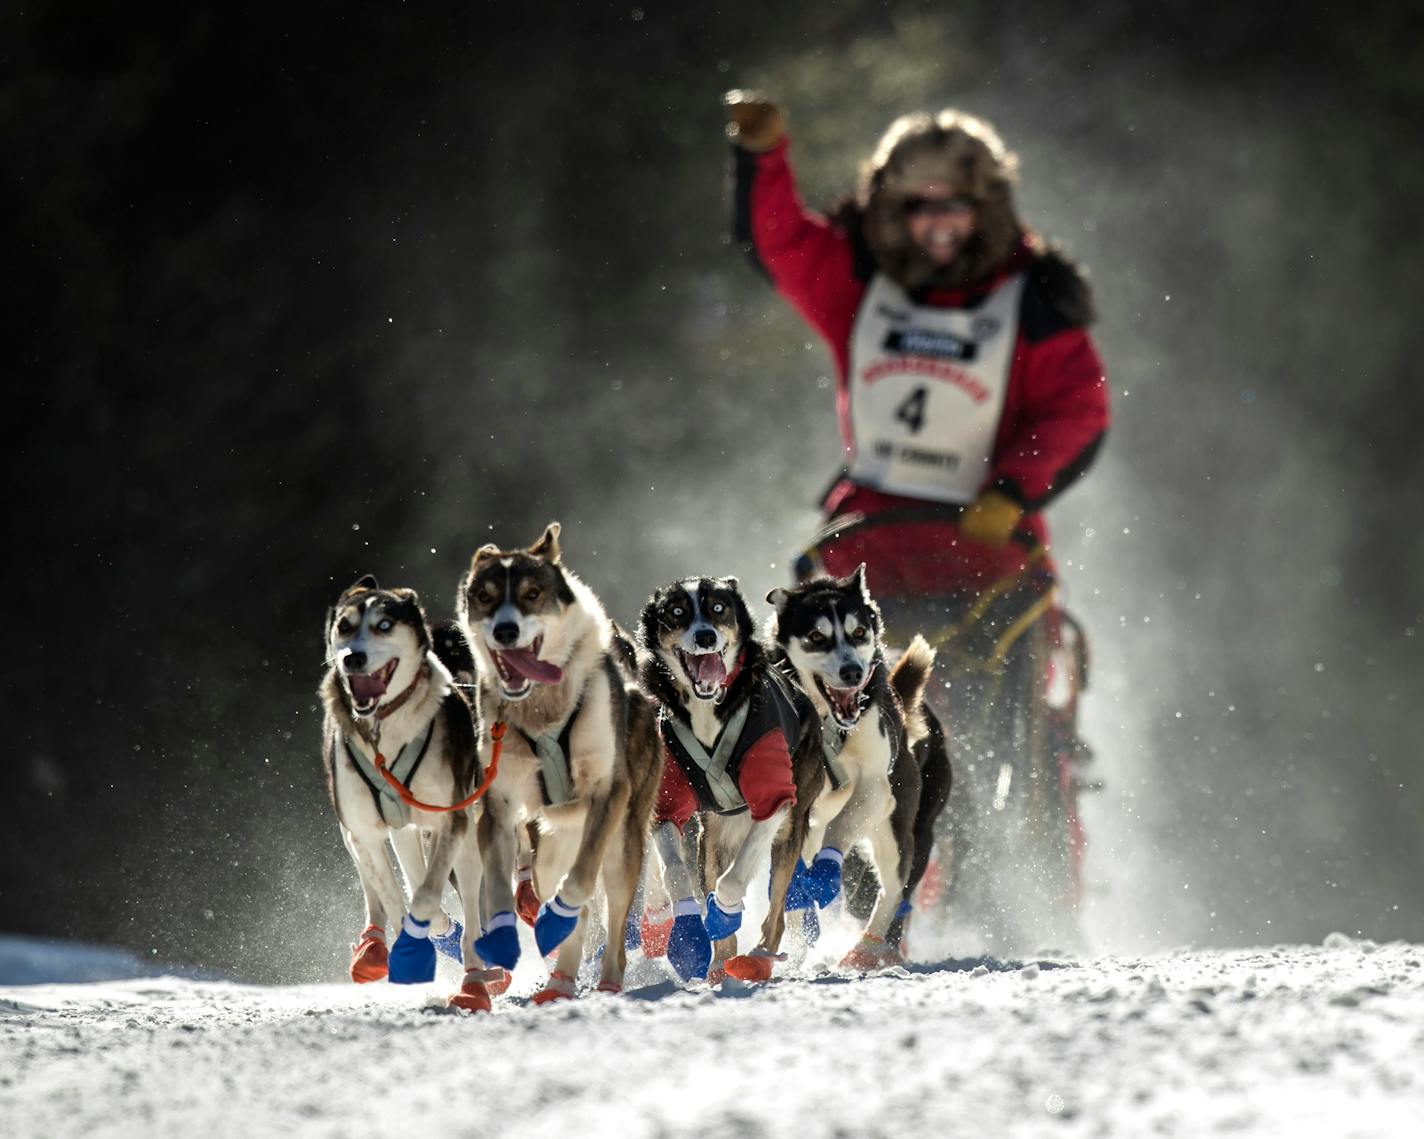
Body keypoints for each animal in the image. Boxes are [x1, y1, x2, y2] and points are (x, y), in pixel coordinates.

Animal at [320, 578, 492, 1008]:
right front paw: (406, 947)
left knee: (467, 904)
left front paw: (420, 949)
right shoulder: (364, 830)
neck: (383, 733)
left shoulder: (451, 819)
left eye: (384, 625)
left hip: (463, 834)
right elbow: (395, 897)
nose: (353, 658)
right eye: (344, 626)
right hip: (372, 832)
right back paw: (374, 946)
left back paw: (475, 981)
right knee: (385, 887)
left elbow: (427, 898)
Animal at [455, 521, 660, 1002]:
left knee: (607, 913)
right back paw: (561, 981)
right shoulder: (498, 805)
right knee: (566, 900)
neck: (542, 712)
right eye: (485, 596)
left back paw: (605, 978)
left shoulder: (607, 791)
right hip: (548, 848)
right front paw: (501, 936)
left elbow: (582, 882)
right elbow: (497, 885)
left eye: (531, 593)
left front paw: (556, 920)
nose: (505, 631)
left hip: (622, 842)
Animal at [768, 563, 956, 968]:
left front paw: (824, 873)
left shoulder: (874, 788)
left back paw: (866, 950)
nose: (853, 672)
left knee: (891, 890)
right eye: (816, 636)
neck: (830, 726)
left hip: (901, 830)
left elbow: (840, 832)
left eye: (858, 632)